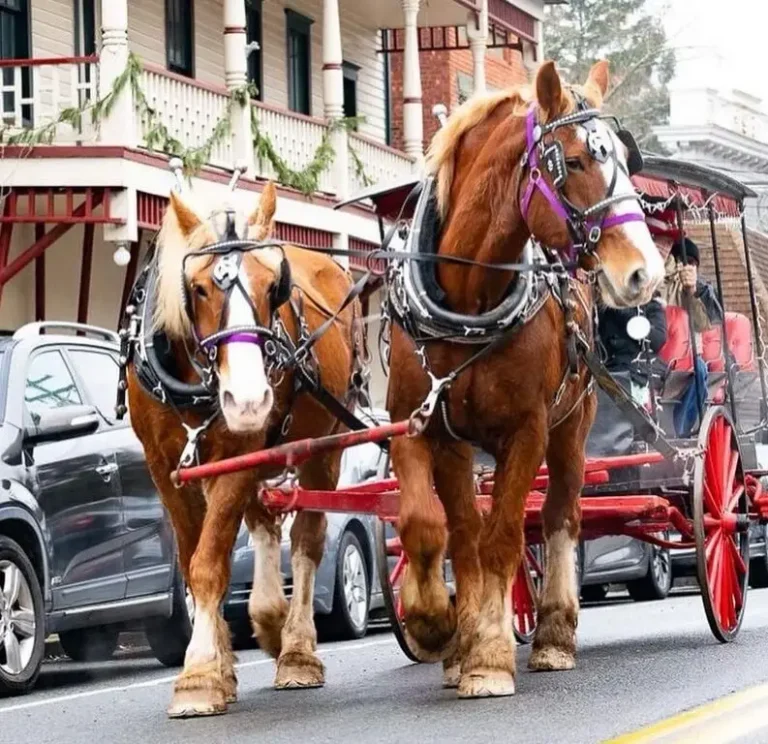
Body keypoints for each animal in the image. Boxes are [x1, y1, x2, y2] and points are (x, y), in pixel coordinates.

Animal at [125, 181, 365, 717]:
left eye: (274, 286)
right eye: (198, 288)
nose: (251, 400)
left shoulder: (237, 453)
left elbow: (209, 562)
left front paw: (197, 674)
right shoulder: (165, 469)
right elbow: (194, 563)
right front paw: (217, 665)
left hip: (323, 448)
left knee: (308, 540)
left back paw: (296, 650)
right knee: (265, 526)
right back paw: (270, 620)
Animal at [386, 59, 665, 698]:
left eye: (624, 156)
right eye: (578, 161)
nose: (645, 272)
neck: (469, 303)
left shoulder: (527, 430)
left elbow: (504, 537)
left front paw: (488, 657)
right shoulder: (419, 427)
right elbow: (439, 529)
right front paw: (440, 628)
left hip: (572, 426)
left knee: (559, 514)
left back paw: (553, 636)